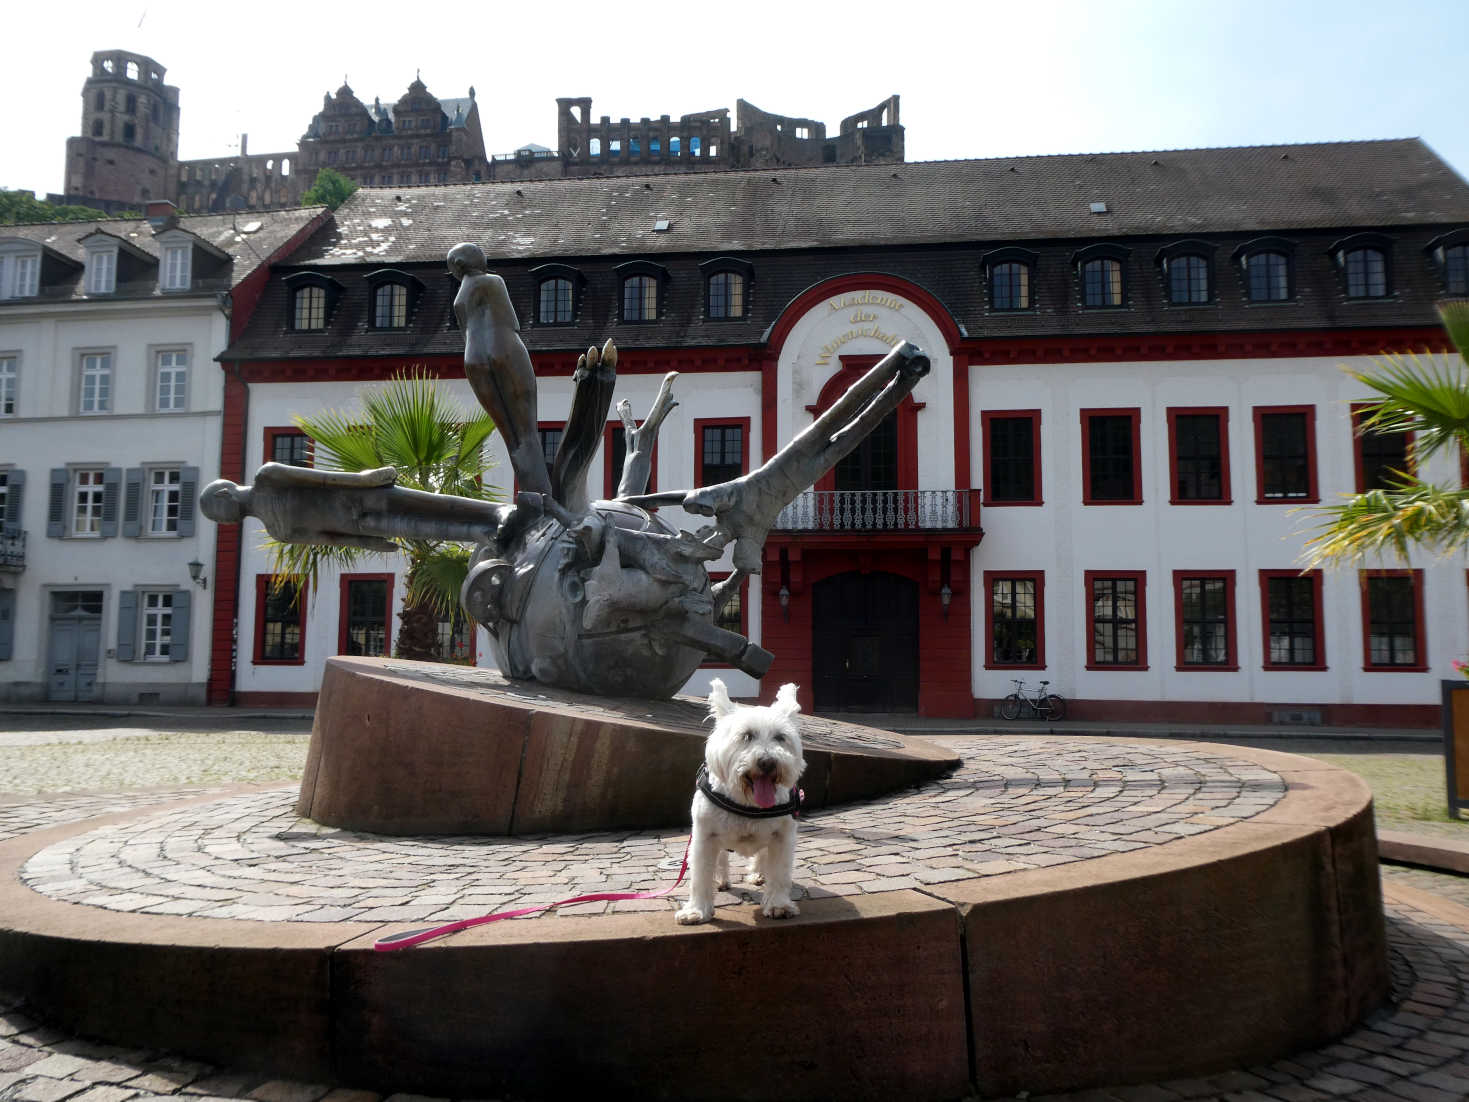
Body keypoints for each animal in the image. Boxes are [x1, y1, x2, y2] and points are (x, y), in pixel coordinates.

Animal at [672, 681, 805, 922]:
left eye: (780, 737)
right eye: (747, 735)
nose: (768, 762)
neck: (748, 803)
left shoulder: (782, 836)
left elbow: (779, 872)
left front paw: (778, 905)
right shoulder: (704, 836)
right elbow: (700, 874)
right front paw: (696, 910)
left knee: (762, 855)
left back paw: (758, 874)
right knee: (722, 857)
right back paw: (722, 879)